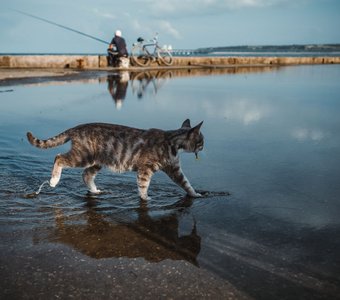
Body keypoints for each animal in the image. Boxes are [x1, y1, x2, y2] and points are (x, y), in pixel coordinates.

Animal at [26, 119, 203, 199]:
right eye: (201, 140)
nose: (203, 147)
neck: (172, 141)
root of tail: (77, 128)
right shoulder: (145, 169)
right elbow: (143, 186)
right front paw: (145, 198)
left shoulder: (175, 170)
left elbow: (186, 184)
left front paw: (196, 194)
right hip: (82, 156)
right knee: (59, 158)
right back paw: (54, 180)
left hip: (96, 161)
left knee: (86, 175)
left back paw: (95, 190)